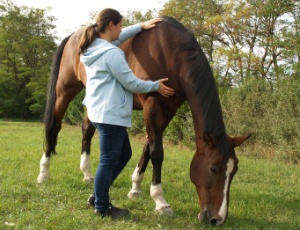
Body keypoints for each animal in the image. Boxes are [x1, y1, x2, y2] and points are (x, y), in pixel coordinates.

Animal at [36, 16, 250, 226]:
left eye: (234, 171)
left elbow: (148, 147)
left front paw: (135, 188)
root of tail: (74, 36)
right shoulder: (152, 104)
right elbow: (157, 152)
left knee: (87, 129)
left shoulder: (169, 110)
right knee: (54, 126)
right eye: (213, 168)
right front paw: (160, 201)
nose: (218, 219)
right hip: (65, 90)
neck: (171, 54)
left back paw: (87, 174)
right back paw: (43, 173)